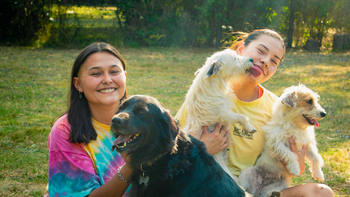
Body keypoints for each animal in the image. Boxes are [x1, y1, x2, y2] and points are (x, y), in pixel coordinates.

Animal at [183, 48, 258, 182]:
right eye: (234, 58)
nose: (251, 59)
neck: (213, 83)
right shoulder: (223, 114)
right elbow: (242, 117)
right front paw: (249, 127)